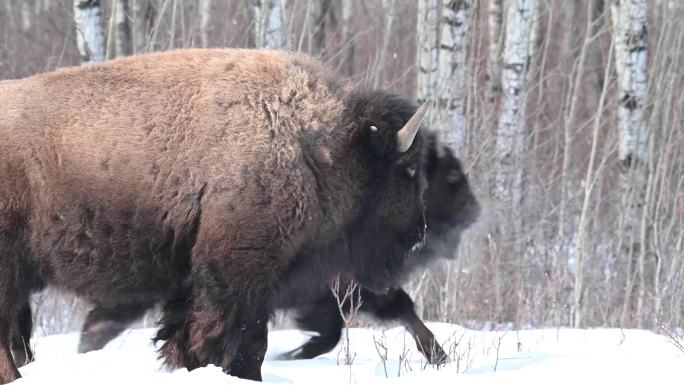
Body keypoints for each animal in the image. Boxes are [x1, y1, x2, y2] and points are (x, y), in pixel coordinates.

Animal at [0, 48, 428, 380]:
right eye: (407, 169)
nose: (420, 235)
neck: (317, 144)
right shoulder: (241, 273)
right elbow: (246, 341)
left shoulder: (194, 278)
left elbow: (188, 337)